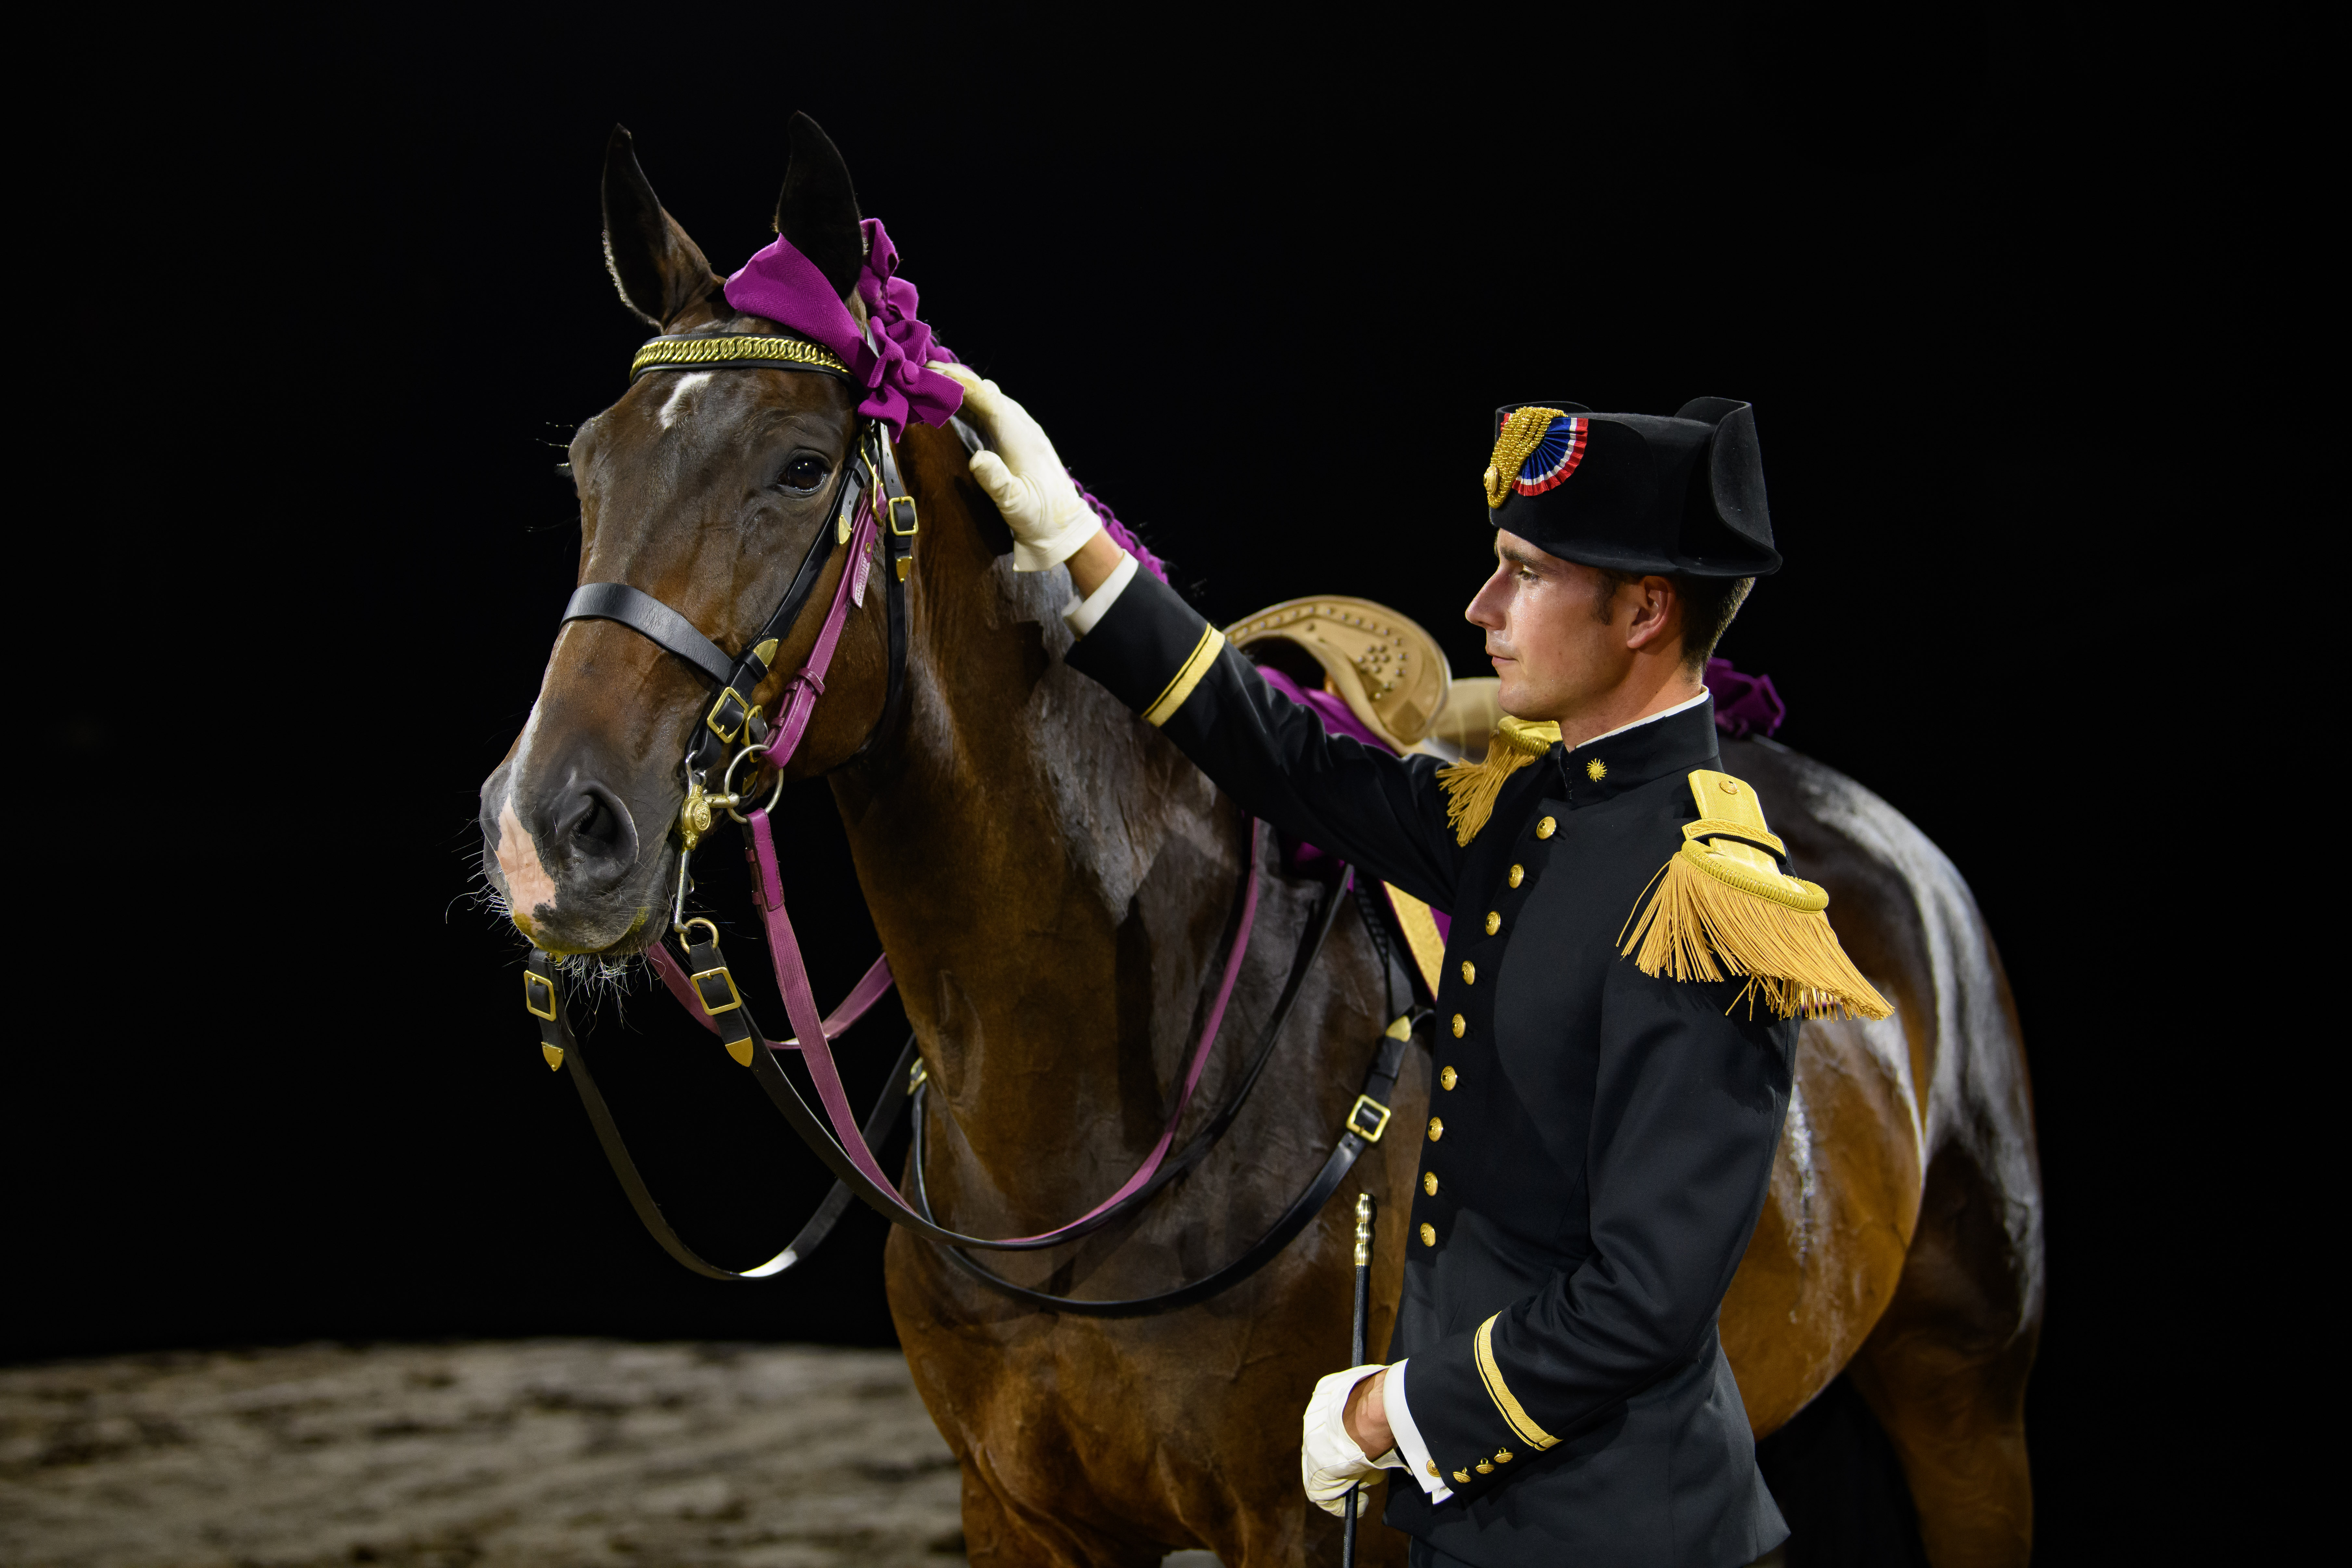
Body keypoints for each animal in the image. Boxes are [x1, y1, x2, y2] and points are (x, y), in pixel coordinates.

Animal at [473, 116, 2041, 1561]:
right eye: (587, 471)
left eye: (802, 467)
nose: (551, 830)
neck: (1097, 1105)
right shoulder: (1018, 1513)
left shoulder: (1299, 1526)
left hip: (1964, 1403)